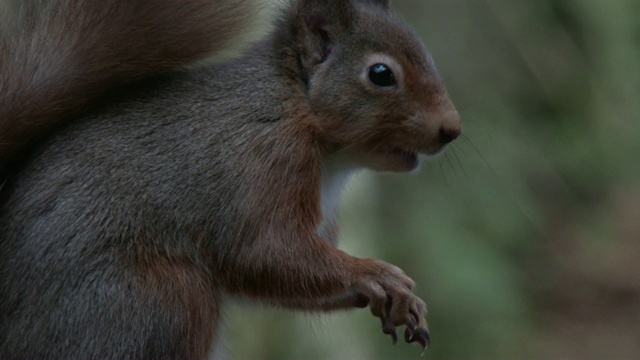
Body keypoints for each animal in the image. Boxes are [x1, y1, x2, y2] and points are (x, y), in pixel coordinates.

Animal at [0, 0, 460, 358]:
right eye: (381, 74)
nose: (452, 128)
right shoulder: (264, 160)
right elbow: (264, 252)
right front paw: (375, 274)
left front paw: (401, 301)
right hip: (154, 299)